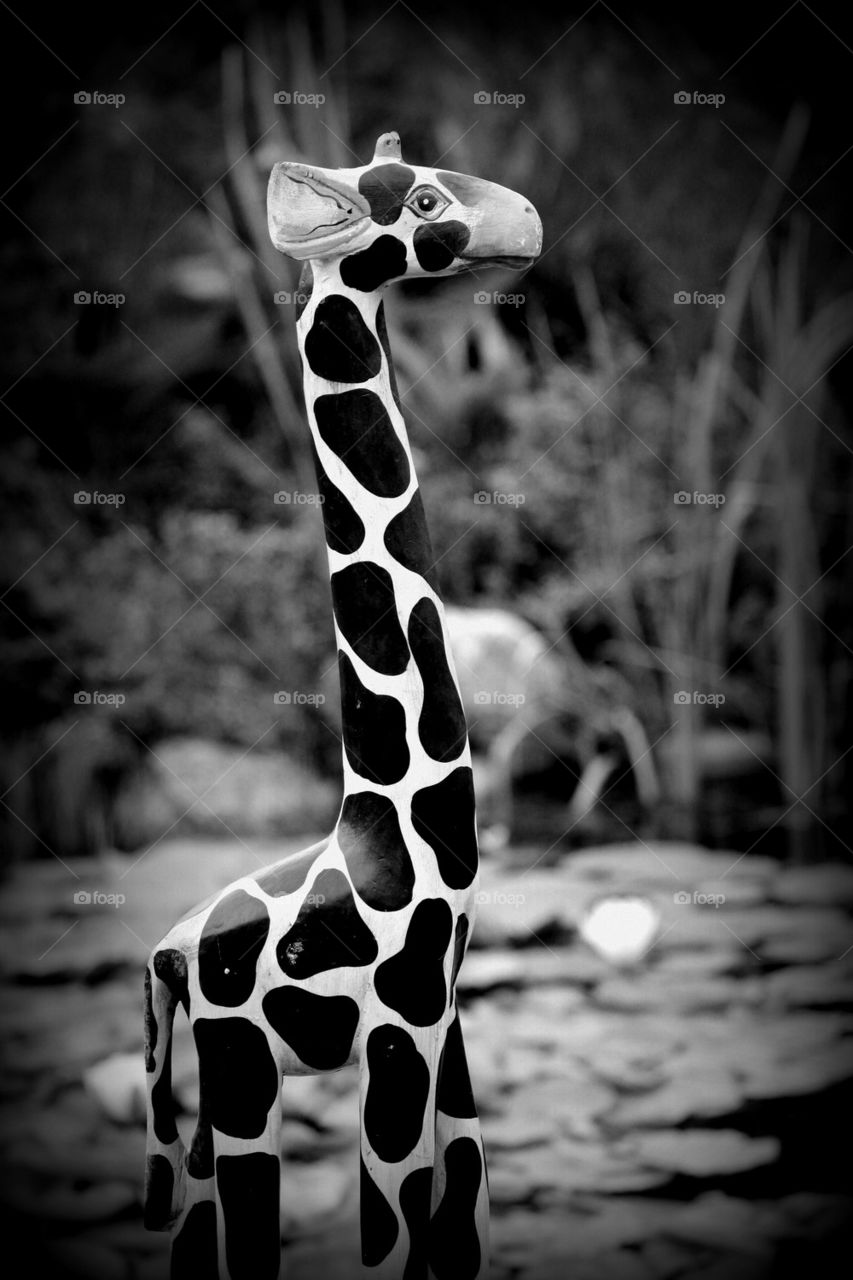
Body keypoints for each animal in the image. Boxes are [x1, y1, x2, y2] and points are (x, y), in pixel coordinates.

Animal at [143, 130, 542, 1279]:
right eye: (423, 200)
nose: (528, 224)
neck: (383, 815)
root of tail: (165, 953)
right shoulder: (398, 1025)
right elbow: (387, 1232)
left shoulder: (447, 1010)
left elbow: (461, 1222)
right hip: (240, 1066)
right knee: (240, 1226)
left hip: (210, 1089)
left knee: (193, 1226)